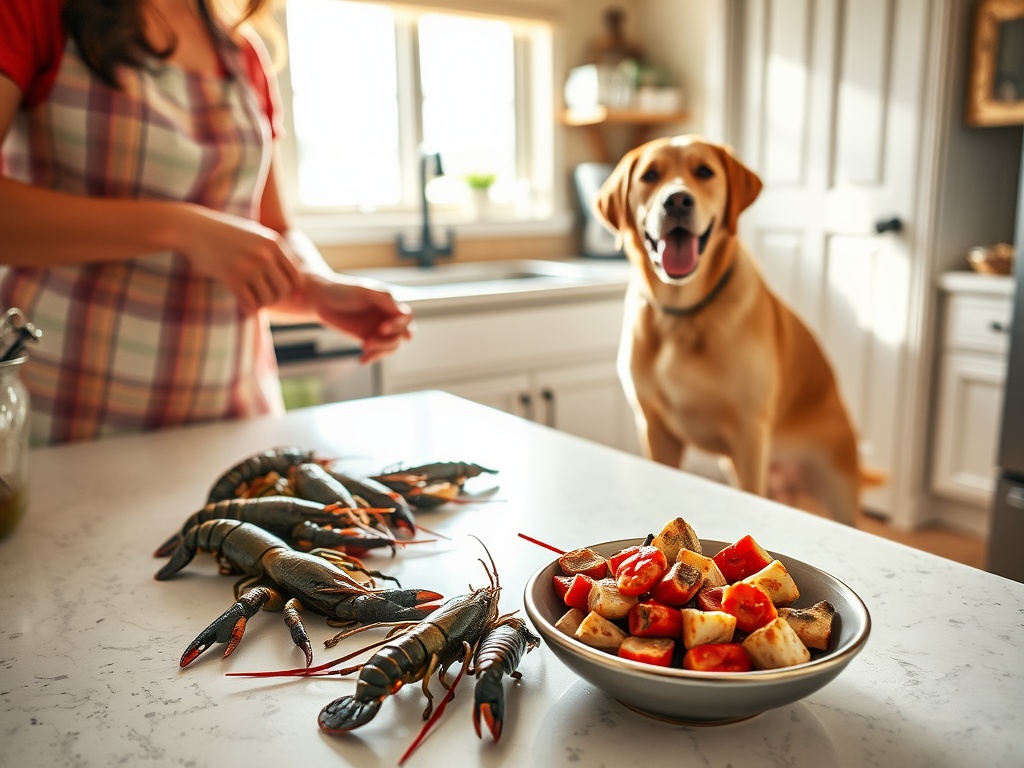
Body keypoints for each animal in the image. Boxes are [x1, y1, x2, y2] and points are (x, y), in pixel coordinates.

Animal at [598, 135, 868, 528]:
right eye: (650, 175)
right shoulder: (654, 428)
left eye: (704, 172)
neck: (683, 314)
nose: (677, 200)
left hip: (836, 486)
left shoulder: (749, 435)